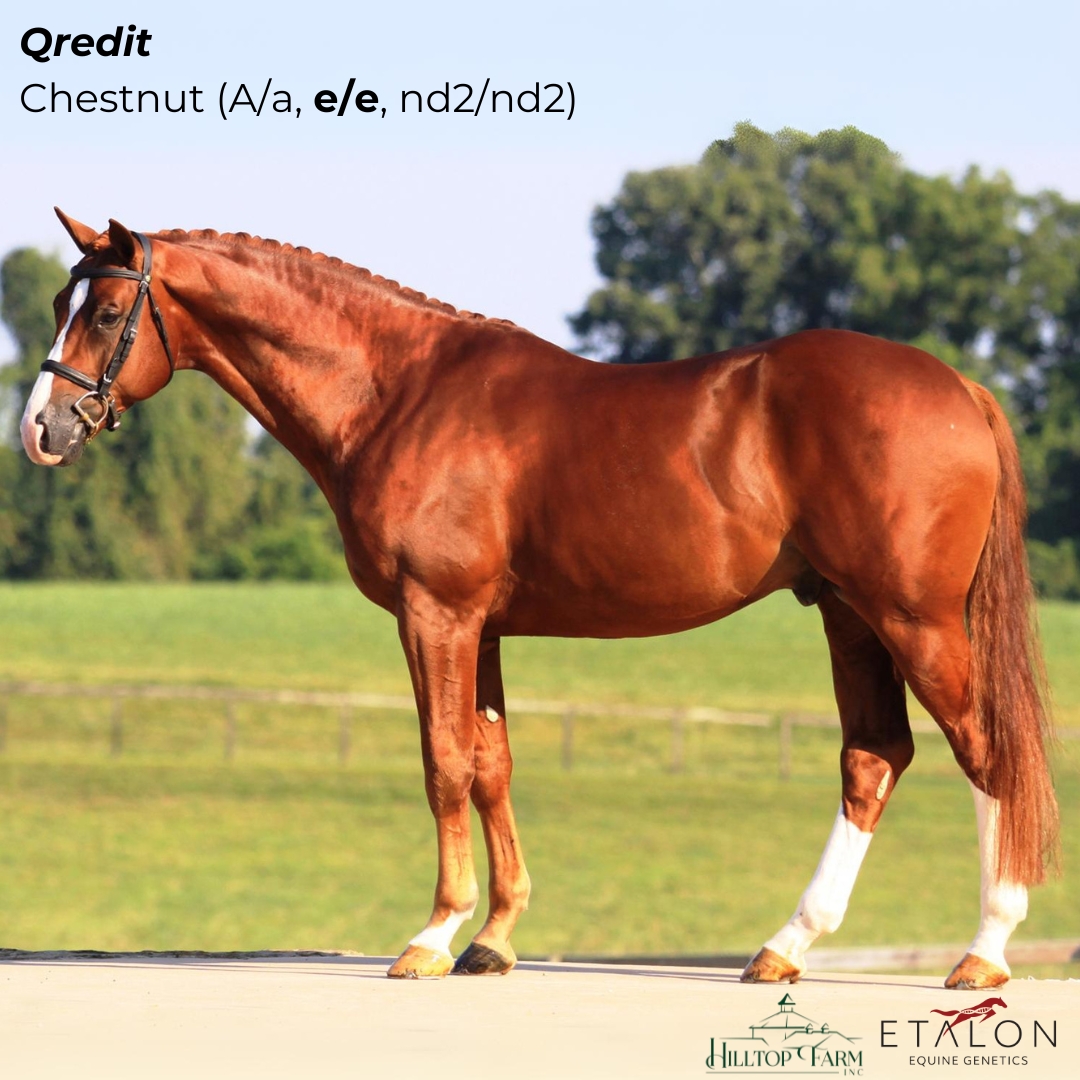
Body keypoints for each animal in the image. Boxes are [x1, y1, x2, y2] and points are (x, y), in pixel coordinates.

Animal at [21, 209, 1057, 989]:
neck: (397, 391)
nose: (40, 428)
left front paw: (432, 936)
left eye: (105, 310)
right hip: (849, 613)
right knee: (875, 758)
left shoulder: (435, 614)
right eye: (62, 302)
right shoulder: (480, 627)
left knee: (987, 752)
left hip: (913, 618)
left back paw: (983, 952)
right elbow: (493, 765)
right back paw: (785, 946)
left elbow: (443, 763)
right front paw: (494, 938)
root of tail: (959, 387)